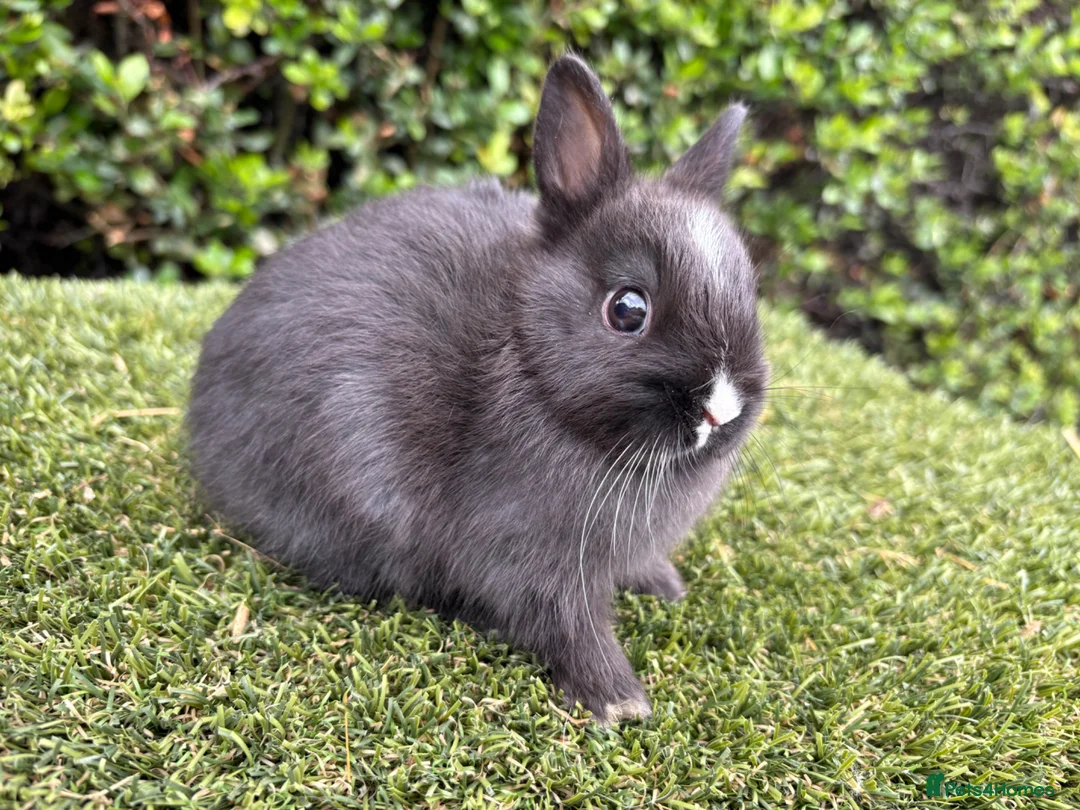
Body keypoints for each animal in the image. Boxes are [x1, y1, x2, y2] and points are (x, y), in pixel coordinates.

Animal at [187, 54, 767, 725]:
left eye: (749, 292)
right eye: (628, 310)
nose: (721, 408)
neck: (535, 375)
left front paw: (667, 588)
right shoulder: (530, 560)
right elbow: (568, 625)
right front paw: (619, 702)